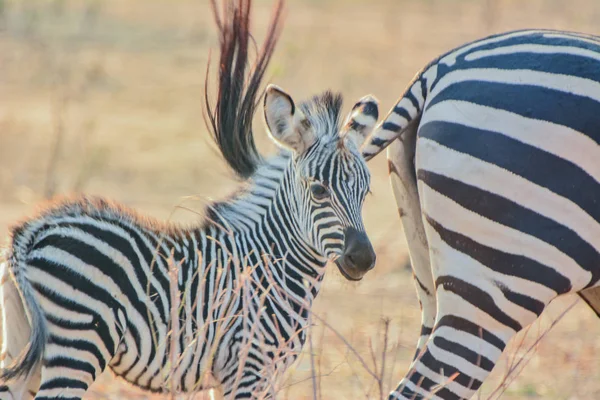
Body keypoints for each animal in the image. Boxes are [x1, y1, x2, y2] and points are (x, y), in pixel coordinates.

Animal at [0, 1, 380, 398]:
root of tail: (30, 233)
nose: (363, 259)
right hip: (79, 340)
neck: (271, 266)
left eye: (365, 191)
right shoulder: (248, 367)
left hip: (24, 341)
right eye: (319, 190)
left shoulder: (241, 374)